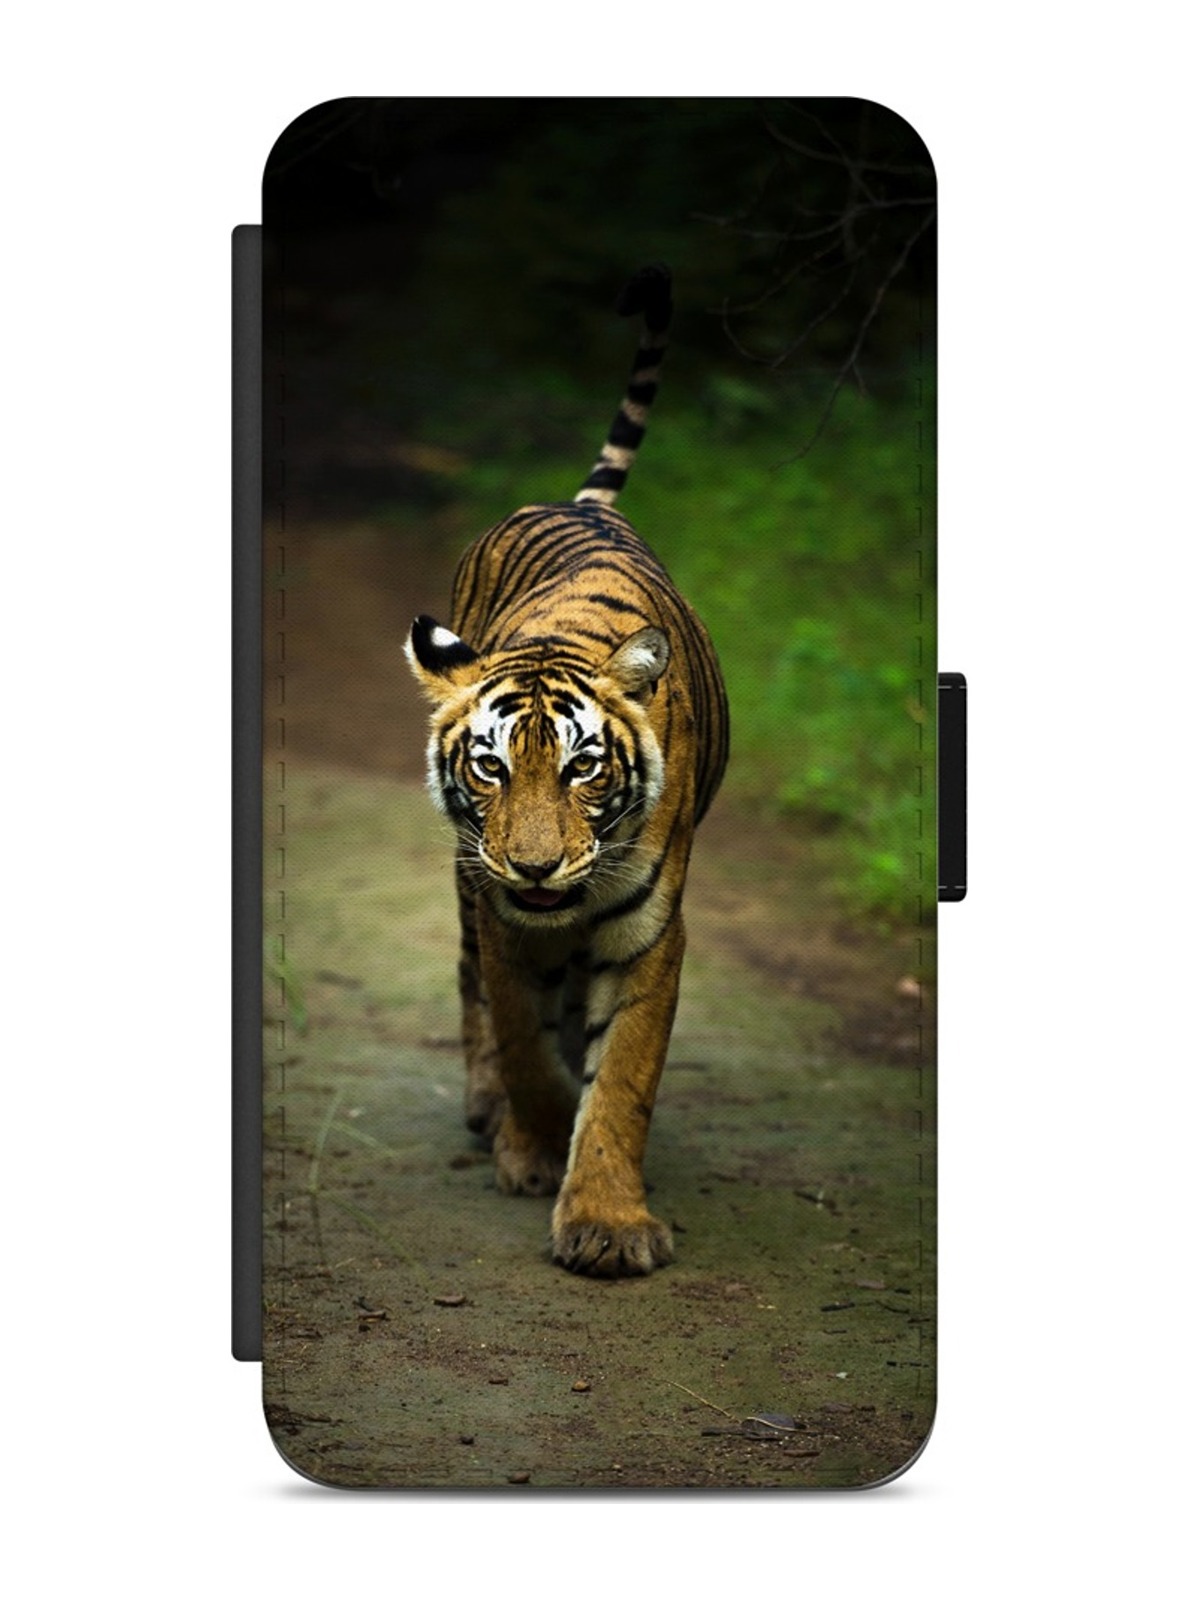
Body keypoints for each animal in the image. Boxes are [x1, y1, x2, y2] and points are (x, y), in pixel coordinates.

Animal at [406, 265, 728, 1276]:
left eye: (586, 767)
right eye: (490, 769)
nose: (537, 866)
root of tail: (582, 504)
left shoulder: (651, 934)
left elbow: (621, 1077)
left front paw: (607, 1223)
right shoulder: (504, 916)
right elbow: (522, 1040)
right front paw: (535, 1144)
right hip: (466, 882)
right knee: (472, 983)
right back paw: (486, 1110)